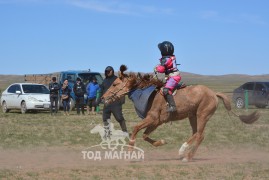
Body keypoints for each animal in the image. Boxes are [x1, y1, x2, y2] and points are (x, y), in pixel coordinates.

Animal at [99, 64, 258, 162]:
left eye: (114, 84)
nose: (103, 98)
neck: (148, 93)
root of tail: (213, 93)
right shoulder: (156, 122)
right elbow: (144, 135)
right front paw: (161, 142)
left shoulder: (153, 118)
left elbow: (136, 129)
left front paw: (130, 151)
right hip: (192, 116)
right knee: (195, 133)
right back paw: (183, 151)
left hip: (202, 115)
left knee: (200, 135)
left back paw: (187, 156)